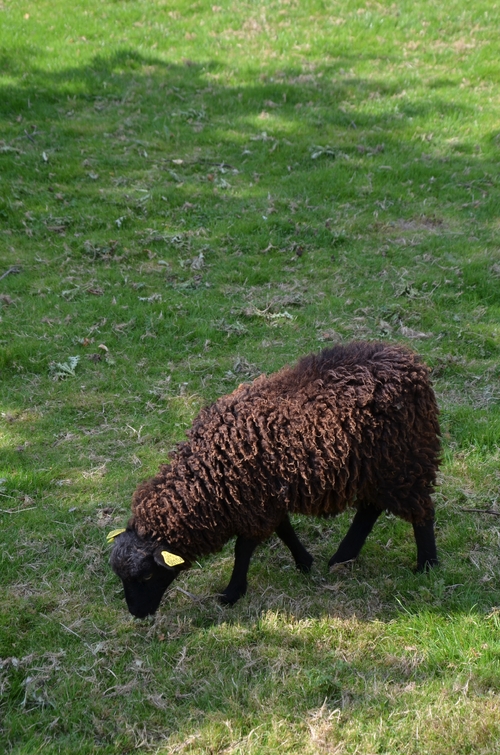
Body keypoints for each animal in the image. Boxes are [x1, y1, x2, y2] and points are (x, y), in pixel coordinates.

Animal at [108, 340, 438, 616]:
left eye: (147, 575)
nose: (137, 614)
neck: (208, 475)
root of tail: (411, 363)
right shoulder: (266, 497)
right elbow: (284, 530)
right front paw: (304, 562)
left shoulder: (255, 503)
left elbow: (243, 549)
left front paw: (231, 593)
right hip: (377, 469)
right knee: (370, 509)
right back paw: (342, 558)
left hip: (404, 462)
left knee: (421, 512)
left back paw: (427, 565)